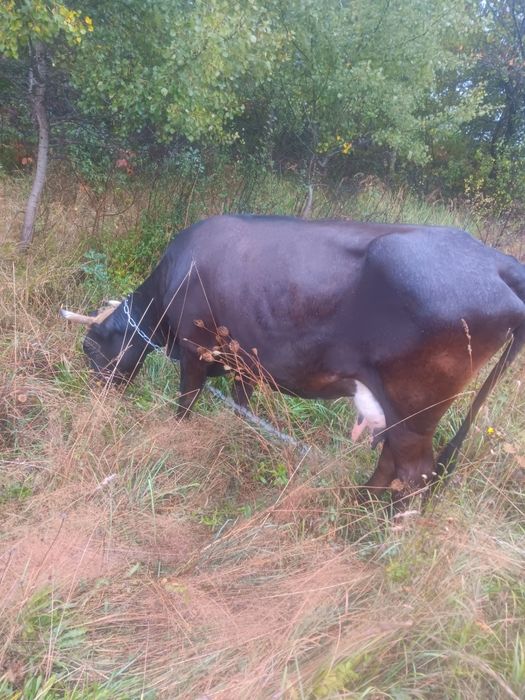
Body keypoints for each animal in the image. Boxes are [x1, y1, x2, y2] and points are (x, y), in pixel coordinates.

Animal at [61, 215, 525, 501]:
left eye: (89, 349)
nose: (94, 400)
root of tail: (498, 262)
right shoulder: (246, 360)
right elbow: (242, 405)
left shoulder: (196, 346)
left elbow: (186, 403)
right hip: (404, 412)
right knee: (391, 461)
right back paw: (358, 505)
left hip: (414, 406)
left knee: (413, 475)